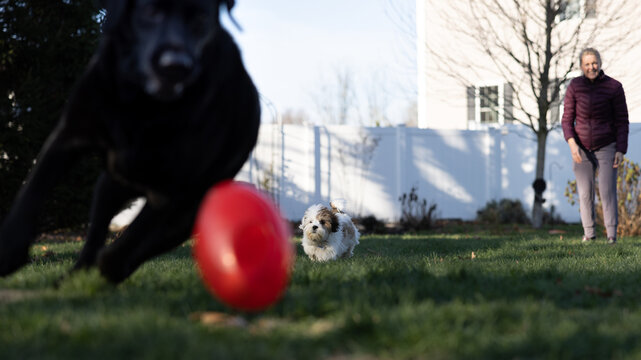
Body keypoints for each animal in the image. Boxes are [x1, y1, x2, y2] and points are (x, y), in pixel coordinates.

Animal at [0, 0, 260, 284]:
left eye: (201, 17)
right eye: (149, 11)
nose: (175, 66)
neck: (143, 104)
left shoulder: (174, 192)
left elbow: (134, 238)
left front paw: (112, 263)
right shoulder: (68, 137)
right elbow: (32, 190)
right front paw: (10, 250)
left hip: (189, 213)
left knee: (143, 244)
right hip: (108, 189)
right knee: (96, 234)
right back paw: (75, 276)